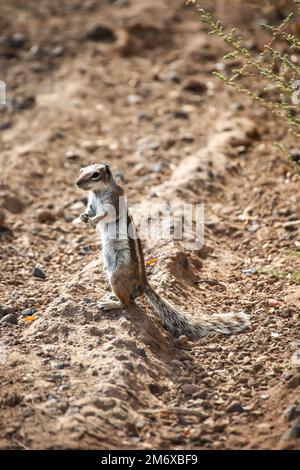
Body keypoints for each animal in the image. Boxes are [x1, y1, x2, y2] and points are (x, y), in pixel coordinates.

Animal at [75, 163, 251, 340]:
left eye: (95, 174)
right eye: (81, 170)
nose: (77, 182)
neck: (97, 193)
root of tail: (143, 283)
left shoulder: (113, 201)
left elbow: (105, 215)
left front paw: (94, 221)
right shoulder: (92, 204)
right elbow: (90, 211)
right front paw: (84, 217)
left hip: (117, 276)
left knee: (128, 302)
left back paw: (111, 303)